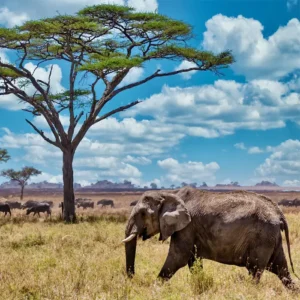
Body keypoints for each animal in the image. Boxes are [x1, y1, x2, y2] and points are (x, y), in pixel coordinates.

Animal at [123, 188, 296, 288]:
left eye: (142, 214)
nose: (131, 278)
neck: (169, 193)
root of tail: (278, 213)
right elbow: (193, 261)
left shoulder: (187, 227)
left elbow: (178, 258)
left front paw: (154, 289)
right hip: (271, 237)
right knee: (281, 269)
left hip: (262, 237)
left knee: (255, 270)